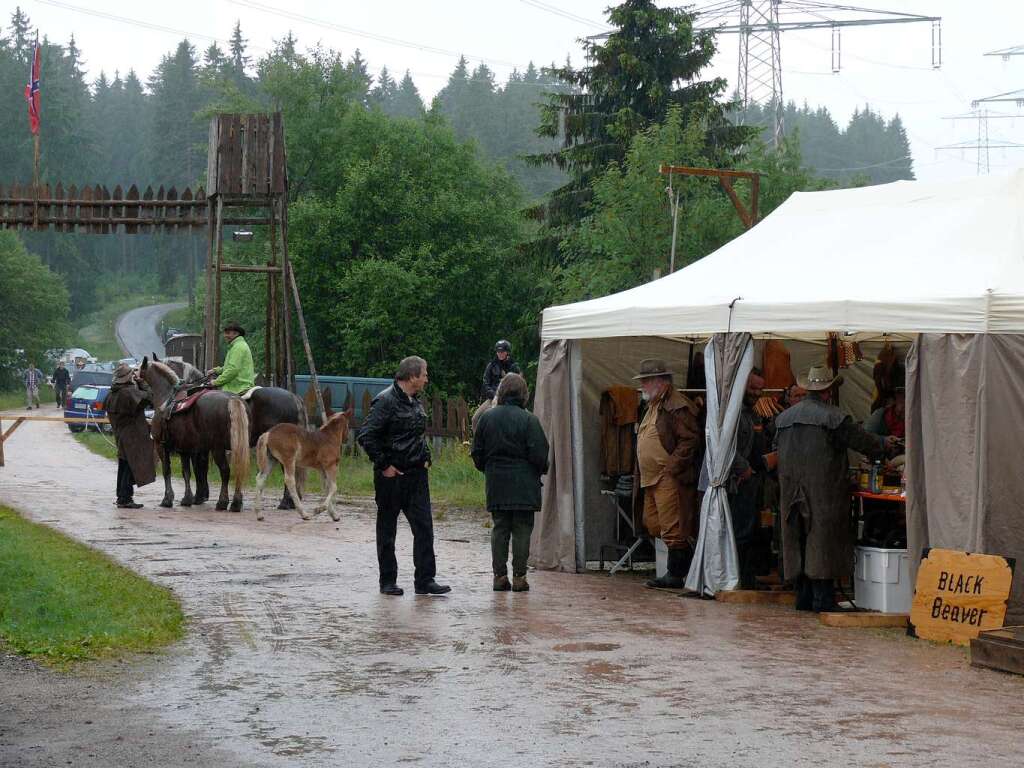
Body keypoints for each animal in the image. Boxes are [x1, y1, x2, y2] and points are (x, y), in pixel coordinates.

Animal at [140, 358, 249, 514]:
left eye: (136, 373)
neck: (166, 398)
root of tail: (233, 399)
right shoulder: (185, 449)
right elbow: (187, 472)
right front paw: (188, 498)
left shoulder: (161, 445)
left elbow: (168, 470)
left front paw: (167, 499)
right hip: (237, 446)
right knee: (238, 469)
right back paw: (236, 503)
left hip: (217, 448)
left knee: (225, 471)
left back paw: (222, 502)